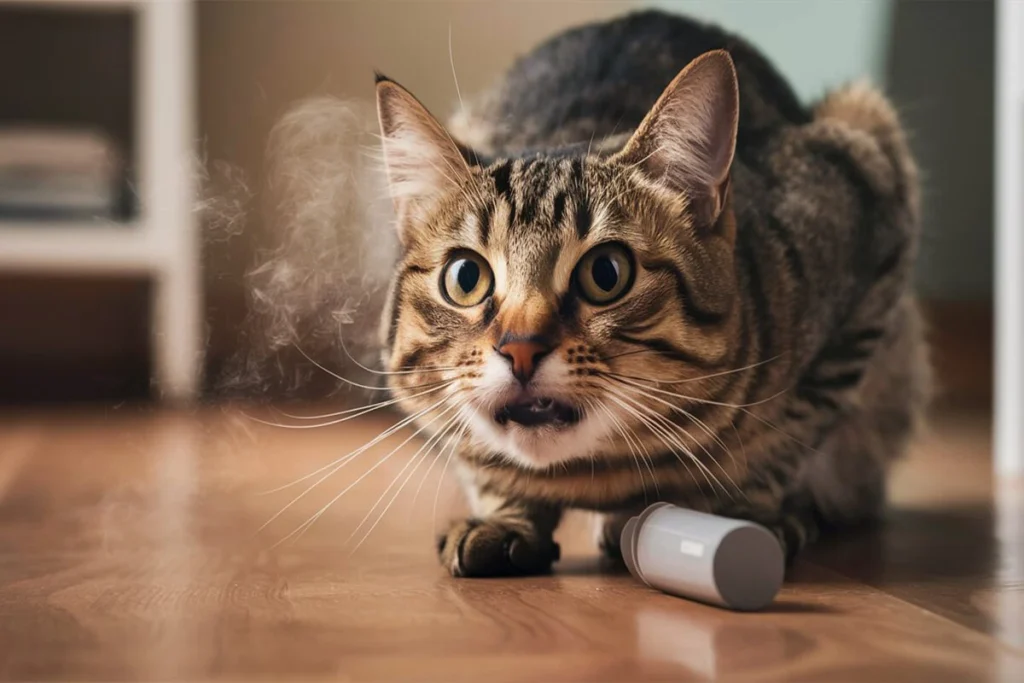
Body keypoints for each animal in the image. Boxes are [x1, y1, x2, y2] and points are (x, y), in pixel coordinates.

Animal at [374, 10, 929, 577]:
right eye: (466, 277)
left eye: (606, 273)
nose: (520, 348)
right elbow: (478, 458)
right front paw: (508, 517)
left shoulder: (872, 209)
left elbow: (787, 436)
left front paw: (742, 516)